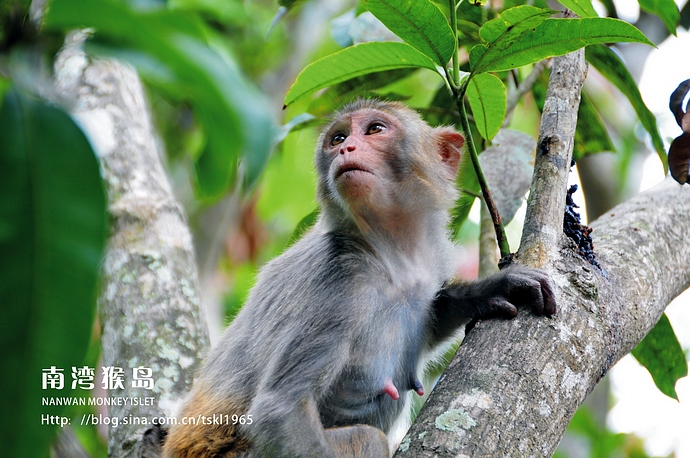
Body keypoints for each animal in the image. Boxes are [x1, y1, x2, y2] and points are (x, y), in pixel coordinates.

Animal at [164, 98, 556, 456]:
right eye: (338, 138)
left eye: (375, 129)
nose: (346, 148)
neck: (388, 254)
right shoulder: (337, 278)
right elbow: (282, 410)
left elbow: (433, 316)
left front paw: (493, 288)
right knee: (367, 438)